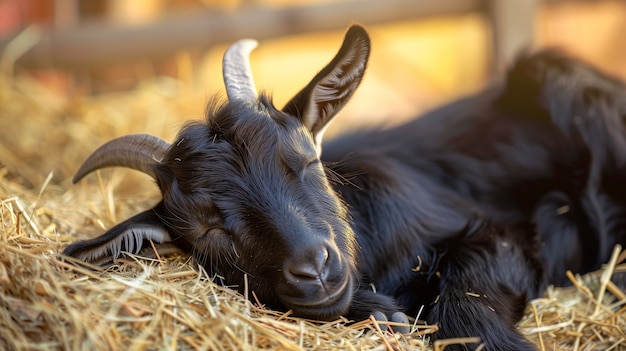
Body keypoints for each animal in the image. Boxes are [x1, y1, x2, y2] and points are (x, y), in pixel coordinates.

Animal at [62, 25, 624, 351]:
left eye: (305, 160)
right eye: (206, 230)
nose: (315, 268)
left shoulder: (498, 229)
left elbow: (466, 293)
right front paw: (383, 314)